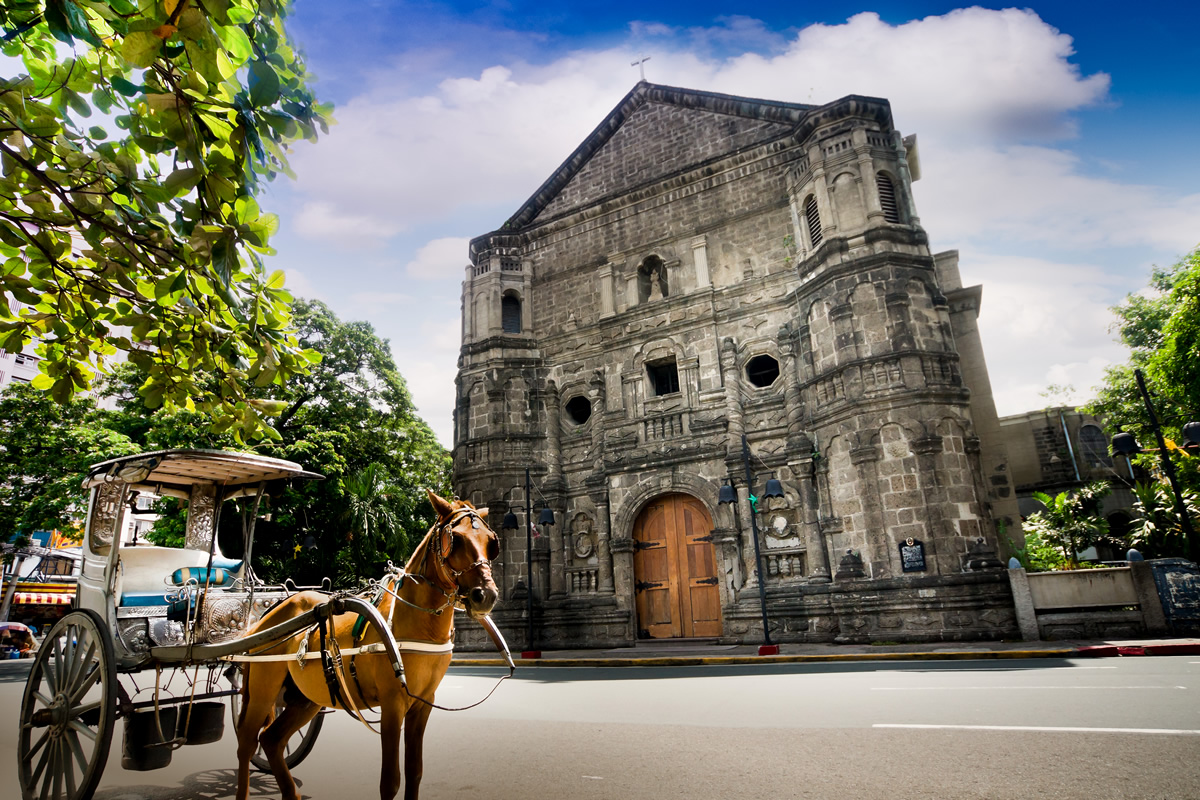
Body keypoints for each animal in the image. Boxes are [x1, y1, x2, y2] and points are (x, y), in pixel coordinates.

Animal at [234, 489, 501, 800]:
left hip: (306, 698)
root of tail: (271, 611)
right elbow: (391, 781)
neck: (418, 621)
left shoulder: (424, 702)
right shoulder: (392, 702)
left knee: (272, 740)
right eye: (455, 539)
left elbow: (415, 772)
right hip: (263, 688)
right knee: (247, 742)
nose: (485, 596)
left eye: (491, 542)